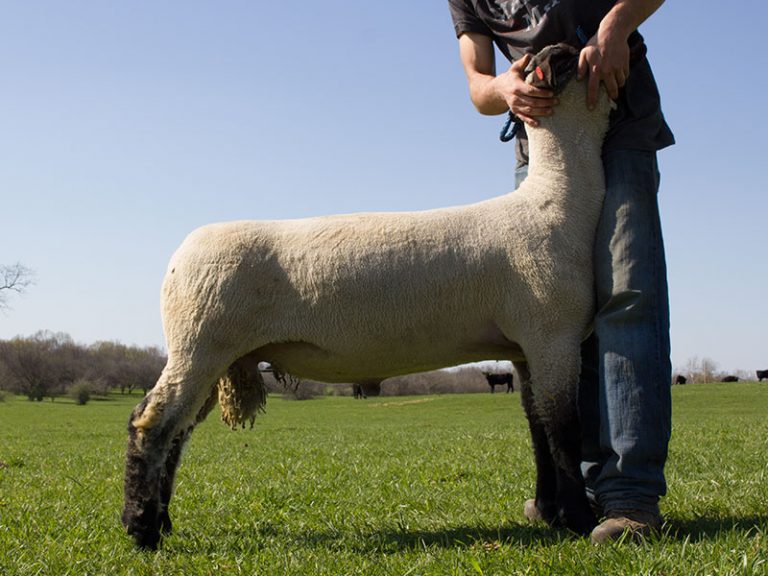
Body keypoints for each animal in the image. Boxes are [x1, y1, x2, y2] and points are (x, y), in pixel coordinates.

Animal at [122, 43, 612, 549]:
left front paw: (549, 511)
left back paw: (161, 521)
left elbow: (538, 429)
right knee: (151, 423)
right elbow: (564, 430)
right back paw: (142, 530)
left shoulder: (522, 347)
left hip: (212, 350)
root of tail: (179, 256)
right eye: (559, 60)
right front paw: (579, 520)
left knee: (176, 433)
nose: (572, 46)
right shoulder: (552, 333)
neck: (556, 203)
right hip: (200, 342)